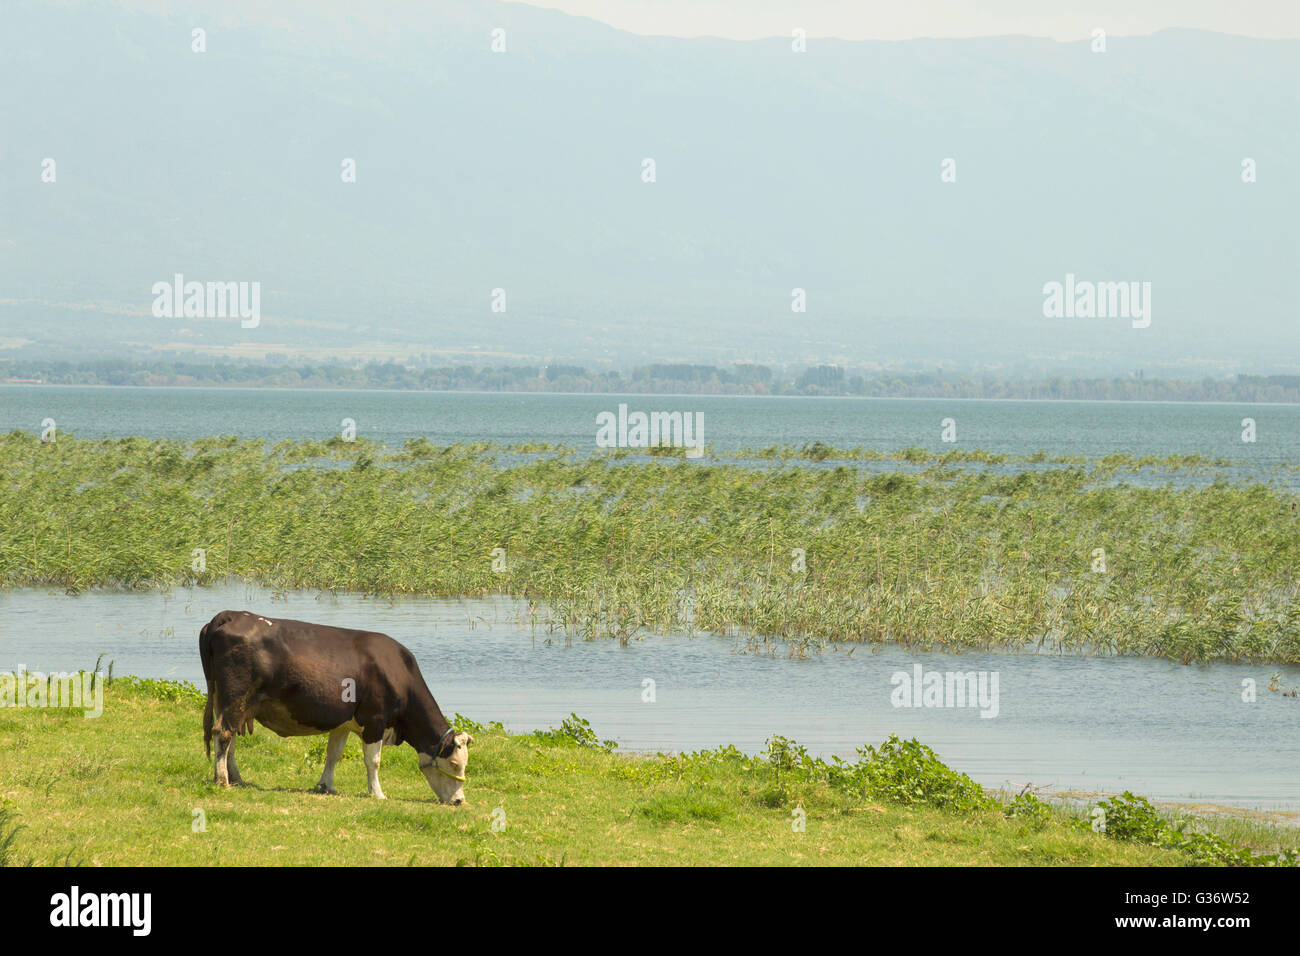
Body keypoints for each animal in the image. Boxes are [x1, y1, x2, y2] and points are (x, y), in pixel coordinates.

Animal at [199, 610, 472, 804]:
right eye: (455, 764)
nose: (459, 801)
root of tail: (229, 615)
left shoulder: (343, 722)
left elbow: (334, 754)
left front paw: (326, 785)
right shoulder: (374, 720)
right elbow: (373, 761)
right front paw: (377, 793)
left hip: (228, 701)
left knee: (230, 738)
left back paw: (236, 778)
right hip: (235, 697)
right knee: (223, 733)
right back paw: (222, 780)